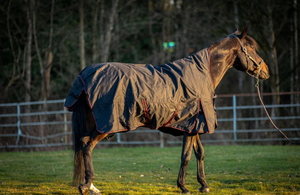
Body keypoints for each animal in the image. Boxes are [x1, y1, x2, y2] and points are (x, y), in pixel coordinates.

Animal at [65, 26, 270, 194]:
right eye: (251, 48)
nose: (266, 71)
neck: (203, 74)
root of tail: (85, 73)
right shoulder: (191, 126)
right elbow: (186, 156)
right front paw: (184, 187)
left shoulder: (195, 125)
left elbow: (200, 153)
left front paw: (203, 185)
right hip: (106, 125)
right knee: (87, 144)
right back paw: (86, 186)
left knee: (83, 145)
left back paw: (92, 187)